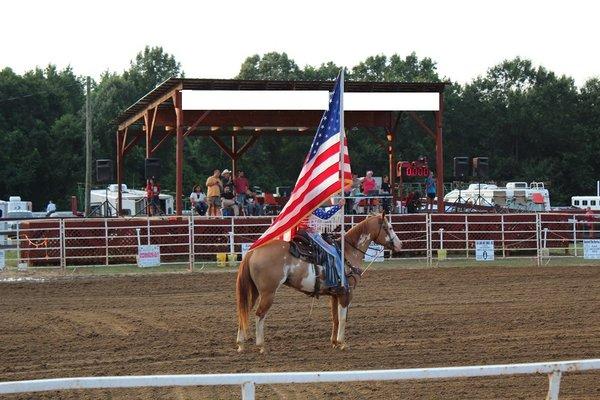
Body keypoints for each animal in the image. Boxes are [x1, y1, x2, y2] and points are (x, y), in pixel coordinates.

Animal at [237, 214, 400, 352]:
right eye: (389, 227)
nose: (400, 244)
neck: (347, 252)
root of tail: (252, 251)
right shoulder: (347, 293)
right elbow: (343, 318)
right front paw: (342, 343)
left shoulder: (335, 294)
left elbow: (335, 318)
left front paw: (334, 342)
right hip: (268, 293)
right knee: (259, 314)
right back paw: (261, 345)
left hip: (254, 292)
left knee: (244, 311)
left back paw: (240, 344)